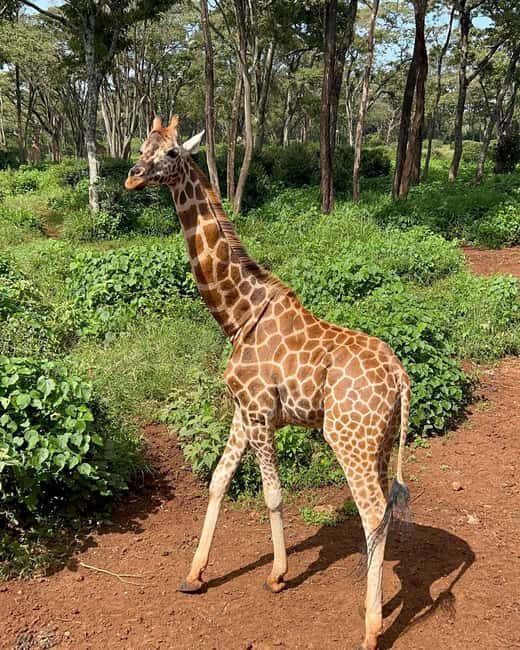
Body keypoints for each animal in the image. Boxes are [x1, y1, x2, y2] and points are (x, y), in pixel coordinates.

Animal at [126, 115, 411, 650]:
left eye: (172, 153)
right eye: (142, 146)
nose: (132, 177)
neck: (237, 316)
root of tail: (403, 380)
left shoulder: (260, 413)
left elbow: (273, 494)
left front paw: (278, 575)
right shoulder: (243, 411)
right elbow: (218, 480)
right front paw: (194, 576)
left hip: (348, 438)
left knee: (371, 511)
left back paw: (371, 626)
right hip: (380, 443)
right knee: (384, 509)